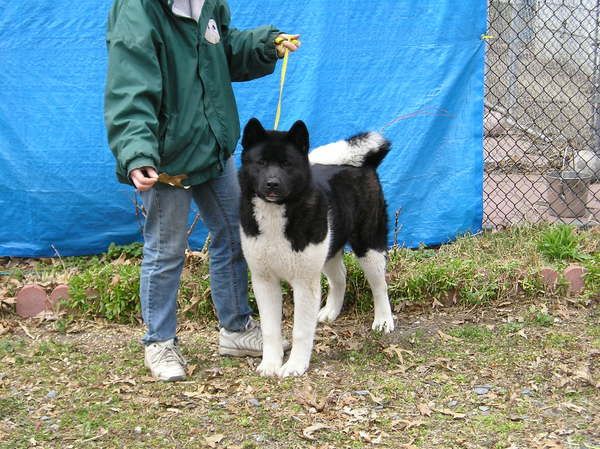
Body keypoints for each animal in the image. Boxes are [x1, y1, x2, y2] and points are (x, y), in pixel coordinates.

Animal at [238, 118, 395, 377]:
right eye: (261, 163)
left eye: (286, 164)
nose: (272, 184)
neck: (276, 214)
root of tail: (364, 163)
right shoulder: (264, 281)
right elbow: (270, 329)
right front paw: (270, 364)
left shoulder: (304, 283)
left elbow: (301, 330)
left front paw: (294, 365)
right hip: (328, 249)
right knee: (340, 277)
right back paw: (331, 310)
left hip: (368, 245)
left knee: (379, 285)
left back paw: (383, 320)